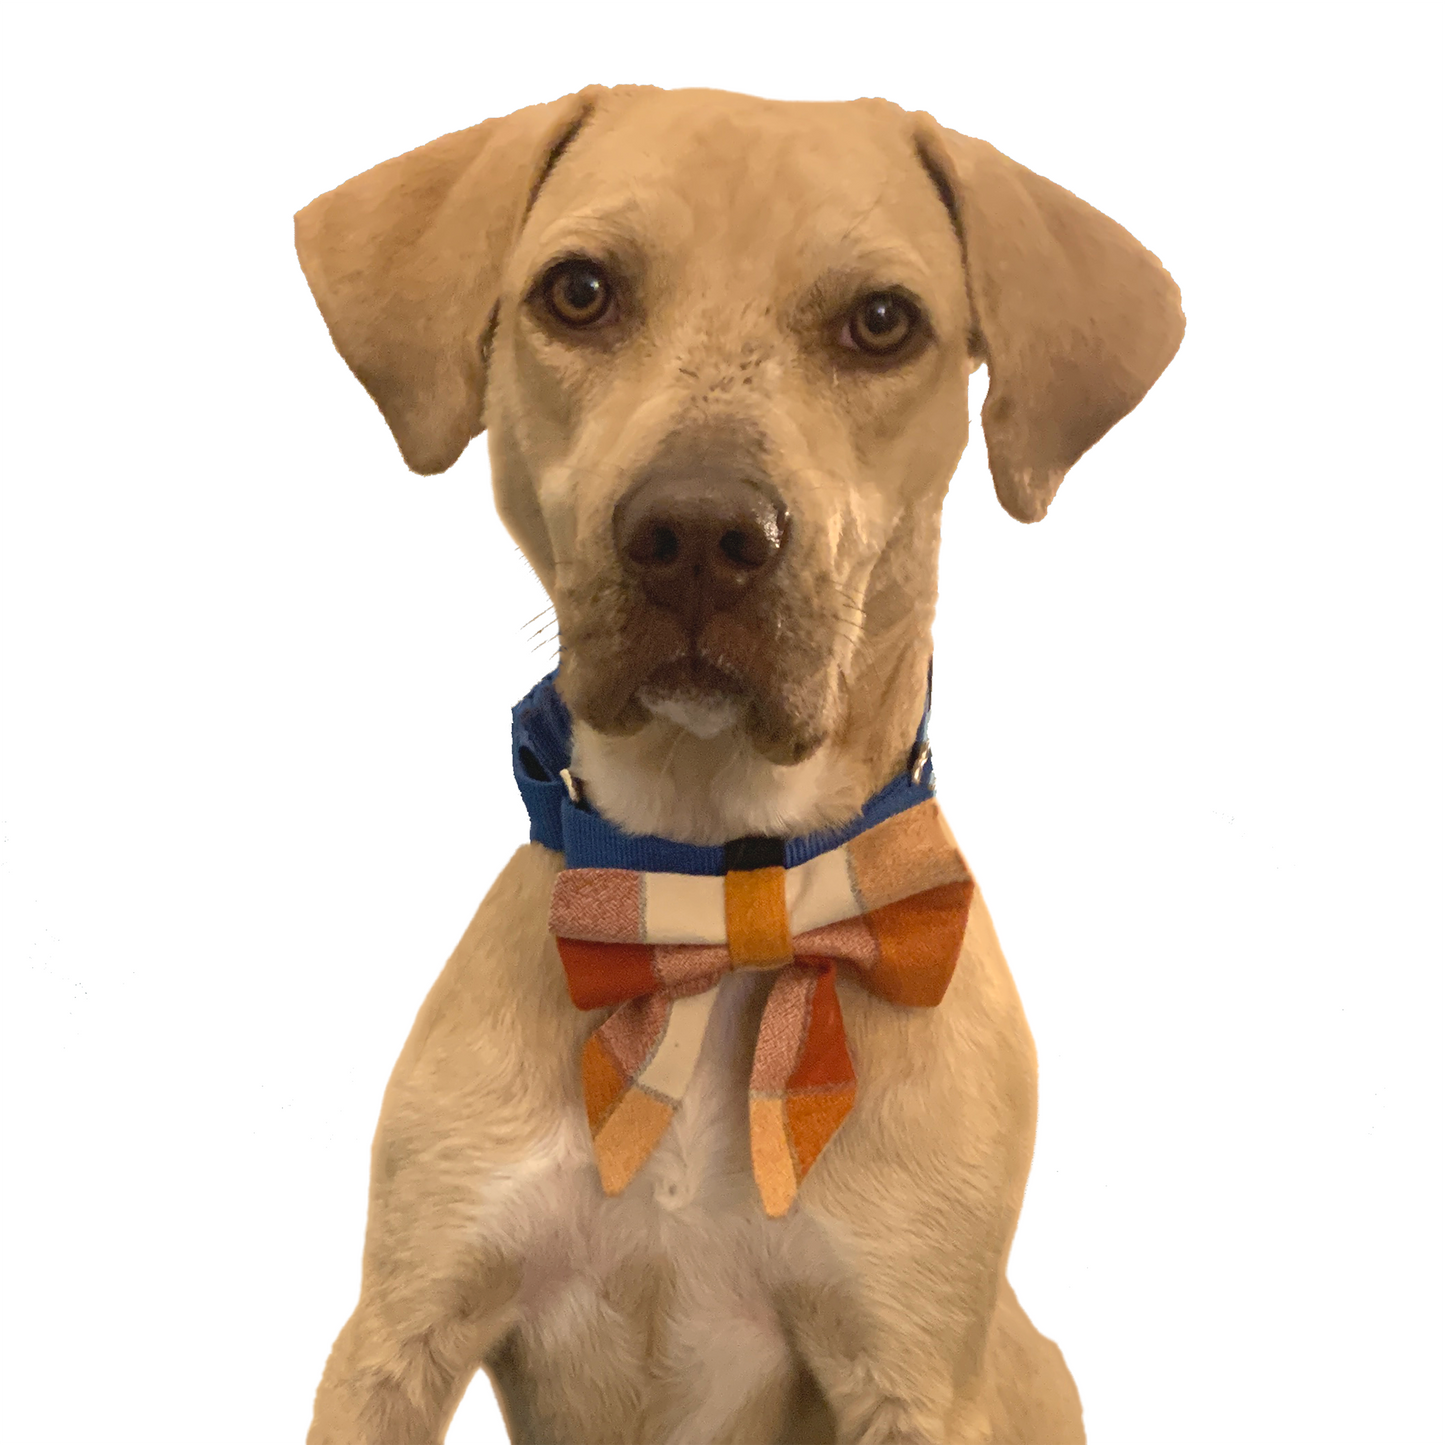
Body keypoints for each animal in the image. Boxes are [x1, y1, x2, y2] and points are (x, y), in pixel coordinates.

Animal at [295, 85, 1183, 1445]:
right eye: (578, 292)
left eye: (881, 321)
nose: (700, 532)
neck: (712, 891)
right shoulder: (400, 1326)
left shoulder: (908, 1368)